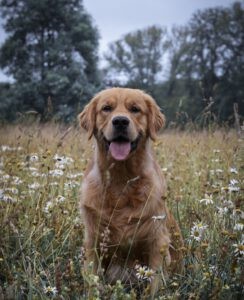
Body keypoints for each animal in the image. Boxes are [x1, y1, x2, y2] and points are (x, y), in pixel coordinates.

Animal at [79, 87, 184, 296]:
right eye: (106, 108)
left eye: (135, 109)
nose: (120, 121)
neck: (121, 180)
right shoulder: (93, 241)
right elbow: (91, 282)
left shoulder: (157, 241)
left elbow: (154, 284)